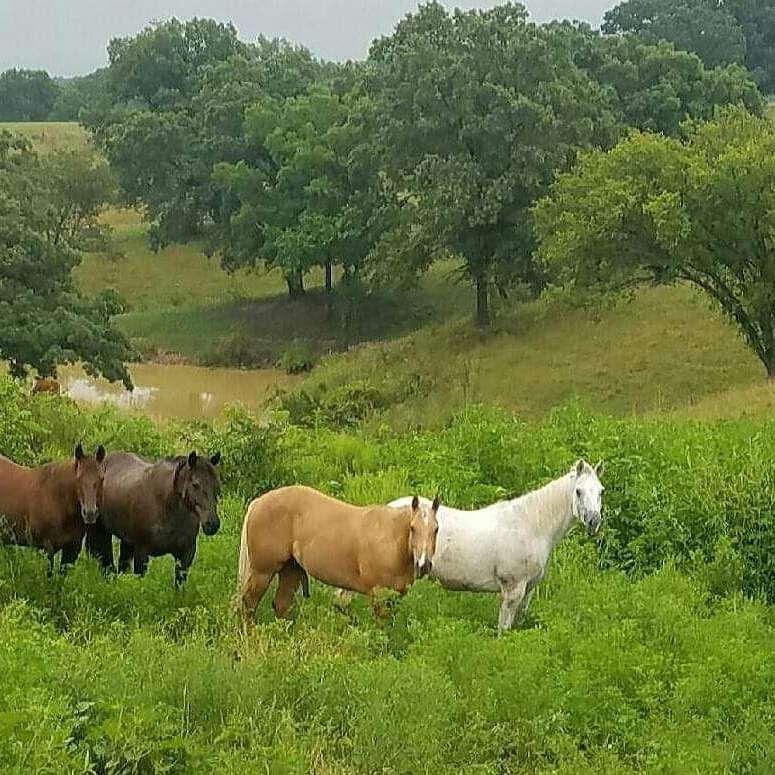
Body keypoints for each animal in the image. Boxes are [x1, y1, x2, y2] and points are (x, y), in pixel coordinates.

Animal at [0, 442, 107, 576]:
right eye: (78, 478)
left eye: (101, 478)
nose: (90, 513)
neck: (57, 500)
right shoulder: (47, 547)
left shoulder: (72, 549)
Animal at [87, 452, 221, 584]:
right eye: (195, 484)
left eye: (216, 484)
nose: (213, 523)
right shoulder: (141, 553)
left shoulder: (185, 555)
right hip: (101, 531)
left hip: (127, 541)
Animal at [236, 488, 442, 628]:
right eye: (413, 528)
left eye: (436, 529)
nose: (424, 565)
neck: (390, 538)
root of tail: (258, 502)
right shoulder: (378, 596)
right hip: (262, 572)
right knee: (249, 605)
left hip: (290, 570)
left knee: (280, 604)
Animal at [392, 460, 604, 632]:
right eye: (578, 491)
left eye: (601, 491)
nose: (594, 521)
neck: (531, 526)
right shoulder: (513, 589)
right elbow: (504, 629)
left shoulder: (528, 590)